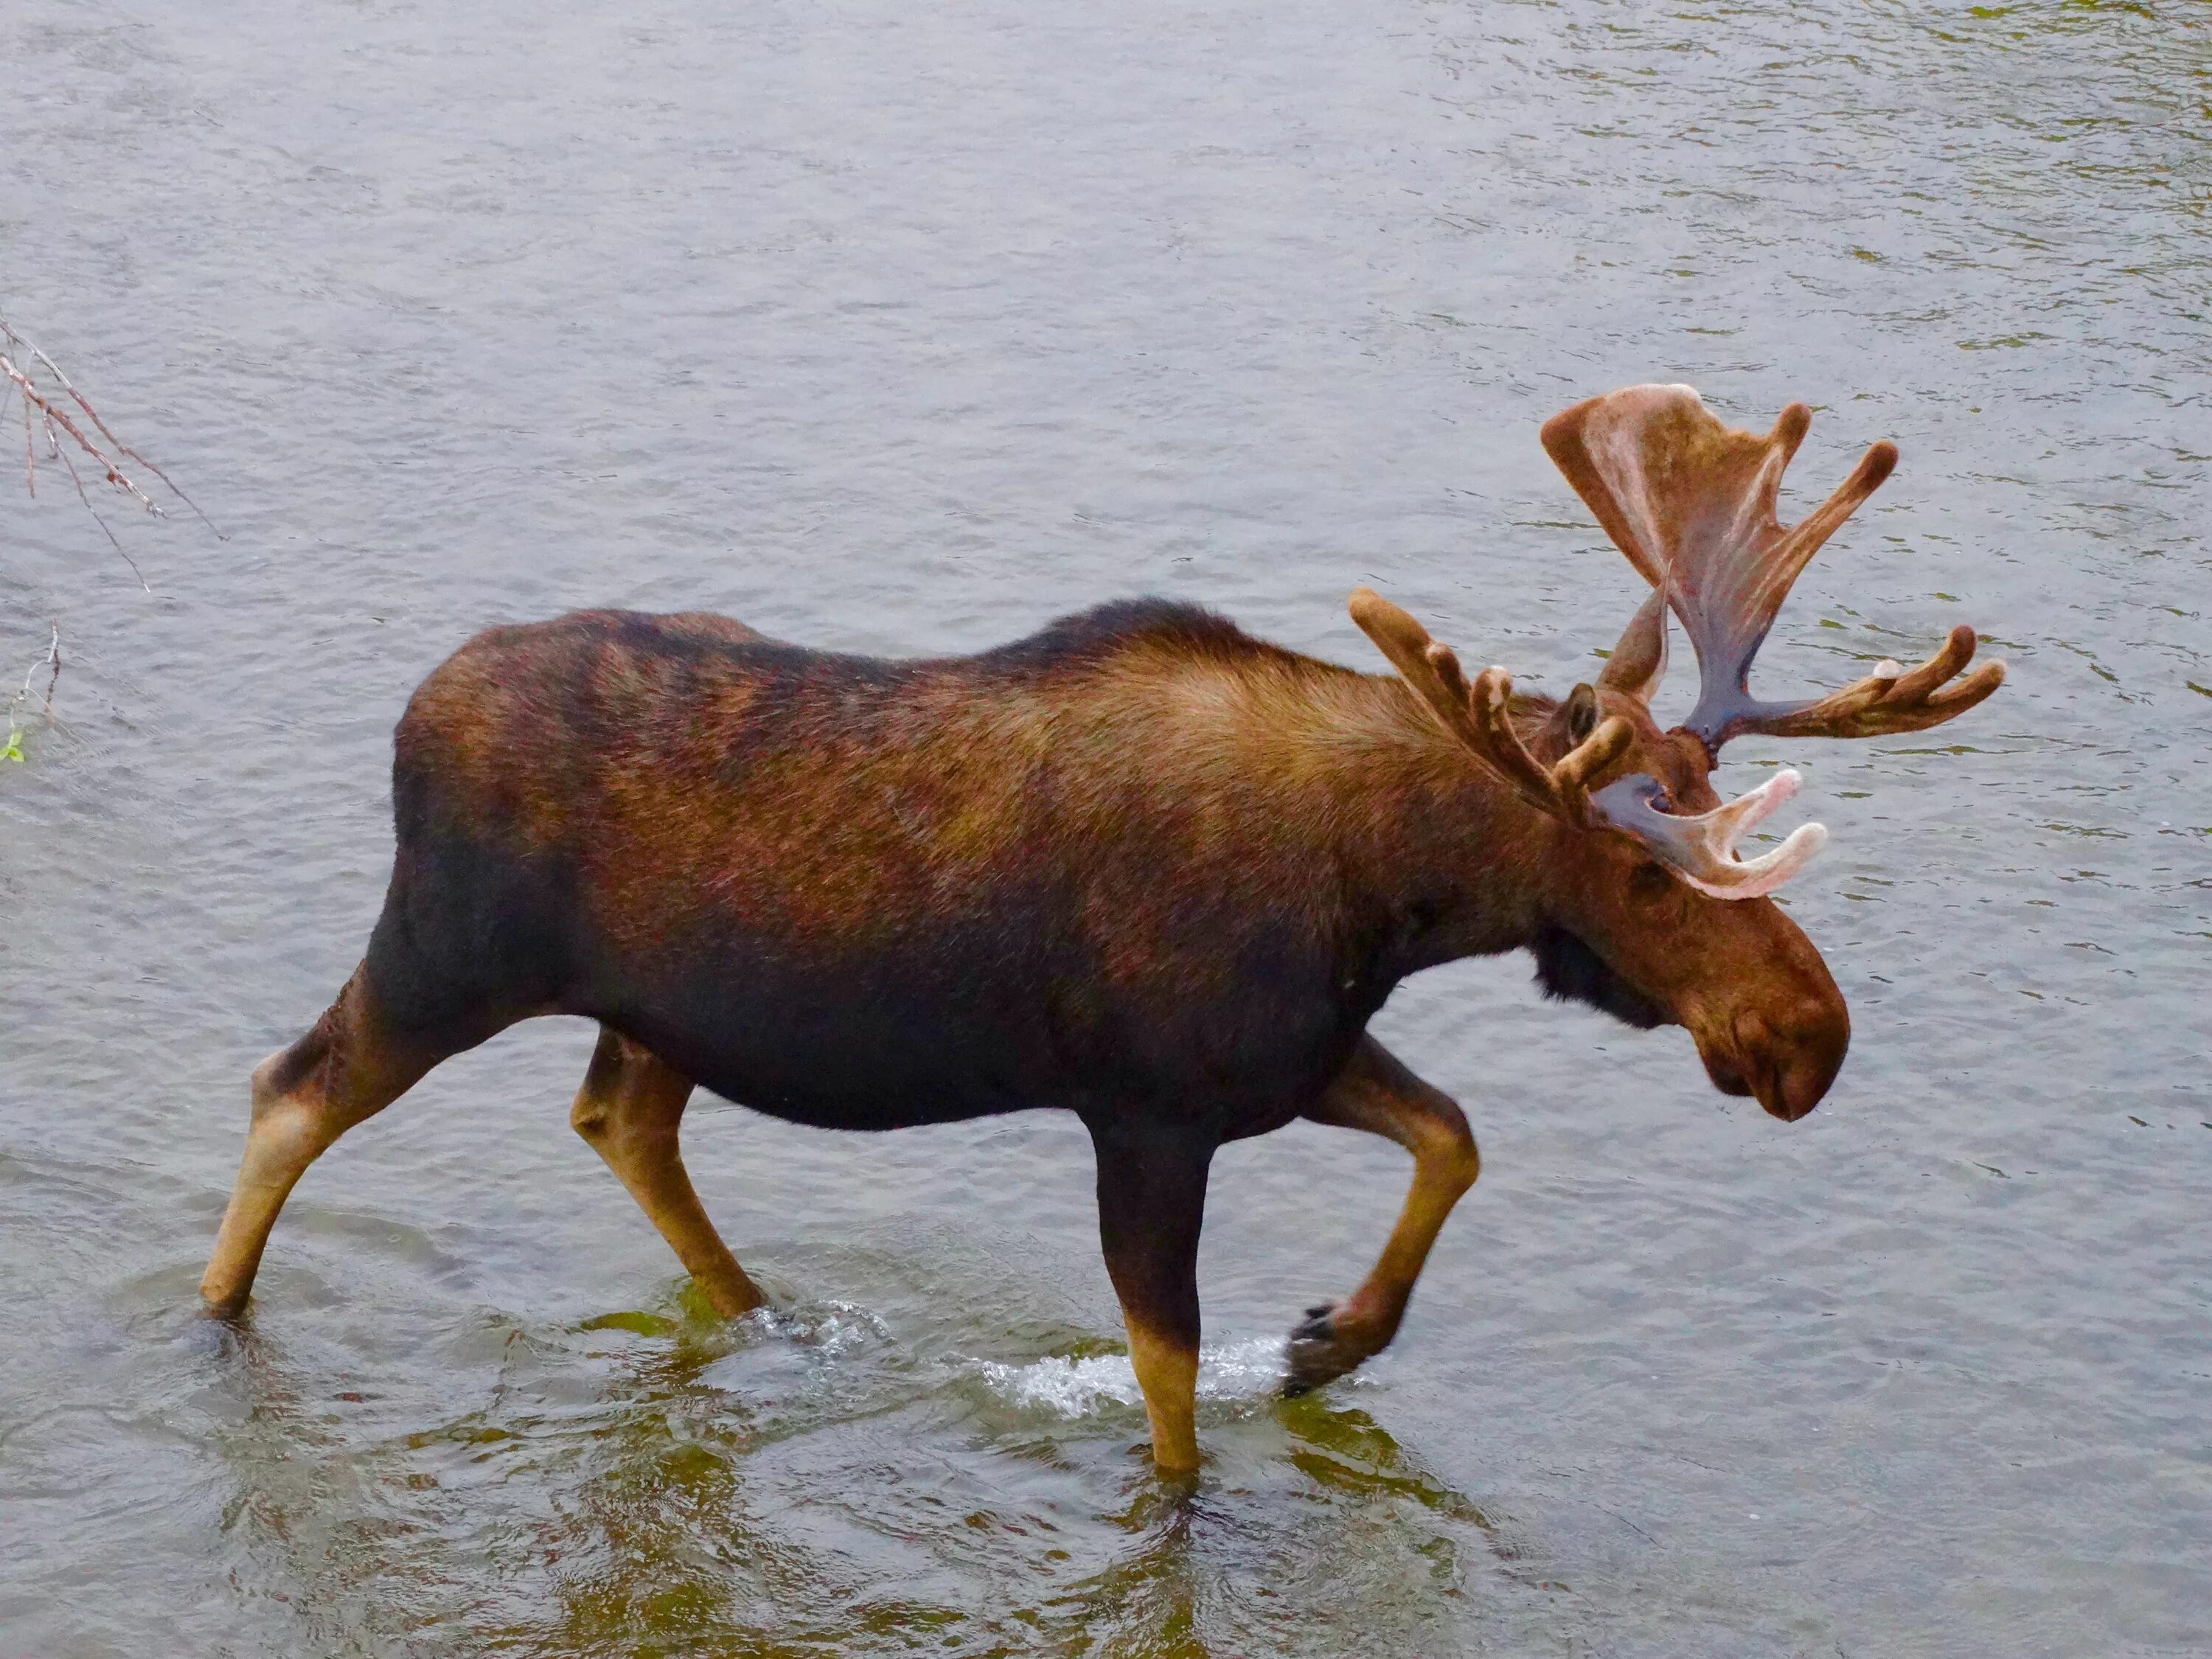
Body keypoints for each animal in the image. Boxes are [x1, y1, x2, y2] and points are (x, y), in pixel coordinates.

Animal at [204, 389, 2008, 1478]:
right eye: (1642, 875)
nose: (1811, 1038)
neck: (1389, 894)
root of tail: (412, 715)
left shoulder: (1287, 1060)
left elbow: (1454, 1136)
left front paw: (1331, 1343)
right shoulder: (1145, 1109)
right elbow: (1167, 1387)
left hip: (652, 1009)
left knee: (620, 1118)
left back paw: (764, 1315)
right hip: (449, 952)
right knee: (291, 1088)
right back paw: (217, 1316)